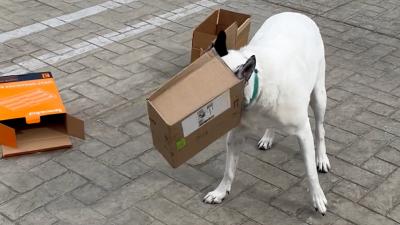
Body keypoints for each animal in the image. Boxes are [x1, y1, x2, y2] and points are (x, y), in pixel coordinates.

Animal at [203, 11, 332, 214]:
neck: (259, 88)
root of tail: (296, 14)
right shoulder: (235, 135)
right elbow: (229, 170)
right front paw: (221, 191)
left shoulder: (303, 132)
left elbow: (311, 172)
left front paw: (318, 197)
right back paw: (267, 137)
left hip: (319, 95)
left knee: (320, 129)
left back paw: (322, 157)